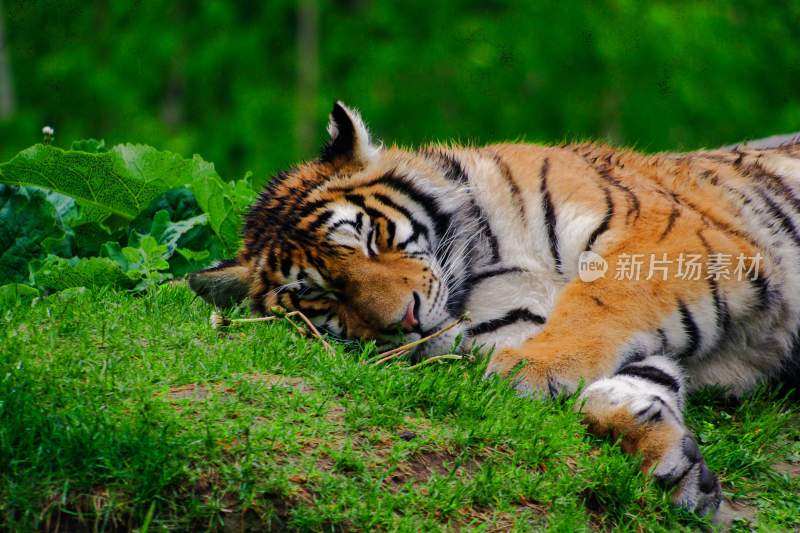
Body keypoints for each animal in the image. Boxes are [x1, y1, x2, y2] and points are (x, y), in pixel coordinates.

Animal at [191, 101, 800, 516]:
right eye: (323, 296)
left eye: (370, 239)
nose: (404, 320)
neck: (484, 263)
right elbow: (620, 386)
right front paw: (672, 463)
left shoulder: (667, 238)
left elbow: (599, 300)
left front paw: (531, 369)